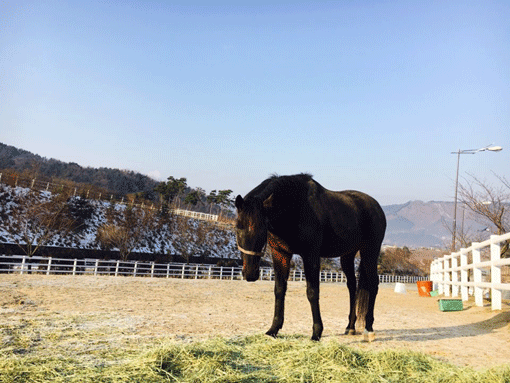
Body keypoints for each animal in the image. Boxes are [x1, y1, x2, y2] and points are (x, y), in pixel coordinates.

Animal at [235, 174, 386, 342]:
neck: (295, 207)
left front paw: (316, 333)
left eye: (262, 228)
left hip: (370, 252)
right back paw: (350, 327)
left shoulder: (310, 255)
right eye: (237, 227)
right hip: (347, 255)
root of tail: (376, 207)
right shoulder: (280, 254)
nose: (249, 273)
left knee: (373, 284)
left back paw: (368, 330)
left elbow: (312, 292)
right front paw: (273, 329)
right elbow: (279, 290)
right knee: (352, 286)